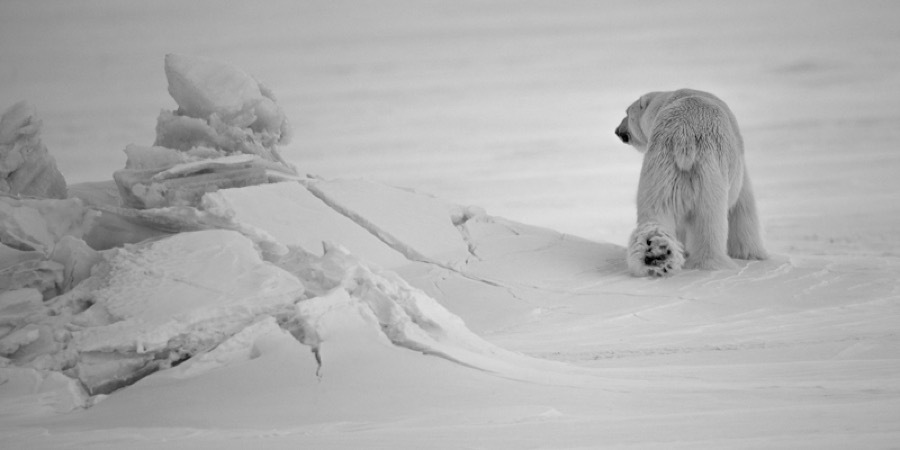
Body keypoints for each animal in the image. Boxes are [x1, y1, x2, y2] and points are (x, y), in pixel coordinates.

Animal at [612, 89, 768, 276]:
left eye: (627, 113)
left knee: (655, 211)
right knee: (708, 220)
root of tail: (683, 135)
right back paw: (711, 263)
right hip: (708, 174)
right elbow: (743, 207)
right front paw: (752, 254)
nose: (617, 130)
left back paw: (656, 255)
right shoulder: (738, 170)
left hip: (661, 169)